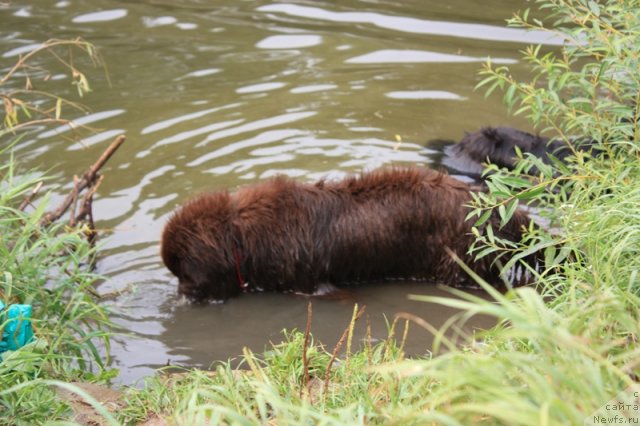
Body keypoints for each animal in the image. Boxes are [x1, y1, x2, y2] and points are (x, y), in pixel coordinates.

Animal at [160, 167, 536, 302]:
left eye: (184, 274)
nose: (181, 296)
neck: (242, 236)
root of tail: (510, 212)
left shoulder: (312, 285)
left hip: (459, 265)